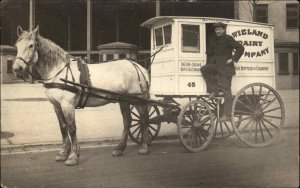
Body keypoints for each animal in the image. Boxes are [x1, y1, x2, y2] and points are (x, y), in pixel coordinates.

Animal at [12, 26, 151, 166]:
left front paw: (73, 155)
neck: (59, 71)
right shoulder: (57, 106)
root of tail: (138, 66)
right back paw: (119, 149)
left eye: (31, 45)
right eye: (17, 45)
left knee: (144, 119)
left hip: (137, 100)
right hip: (123, 100)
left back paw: (144, 147)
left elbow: (72, 128)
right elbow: (63, 128)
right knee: (127, 121)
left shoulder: (67, 104)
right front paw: (63, 153)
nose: (17, 68)